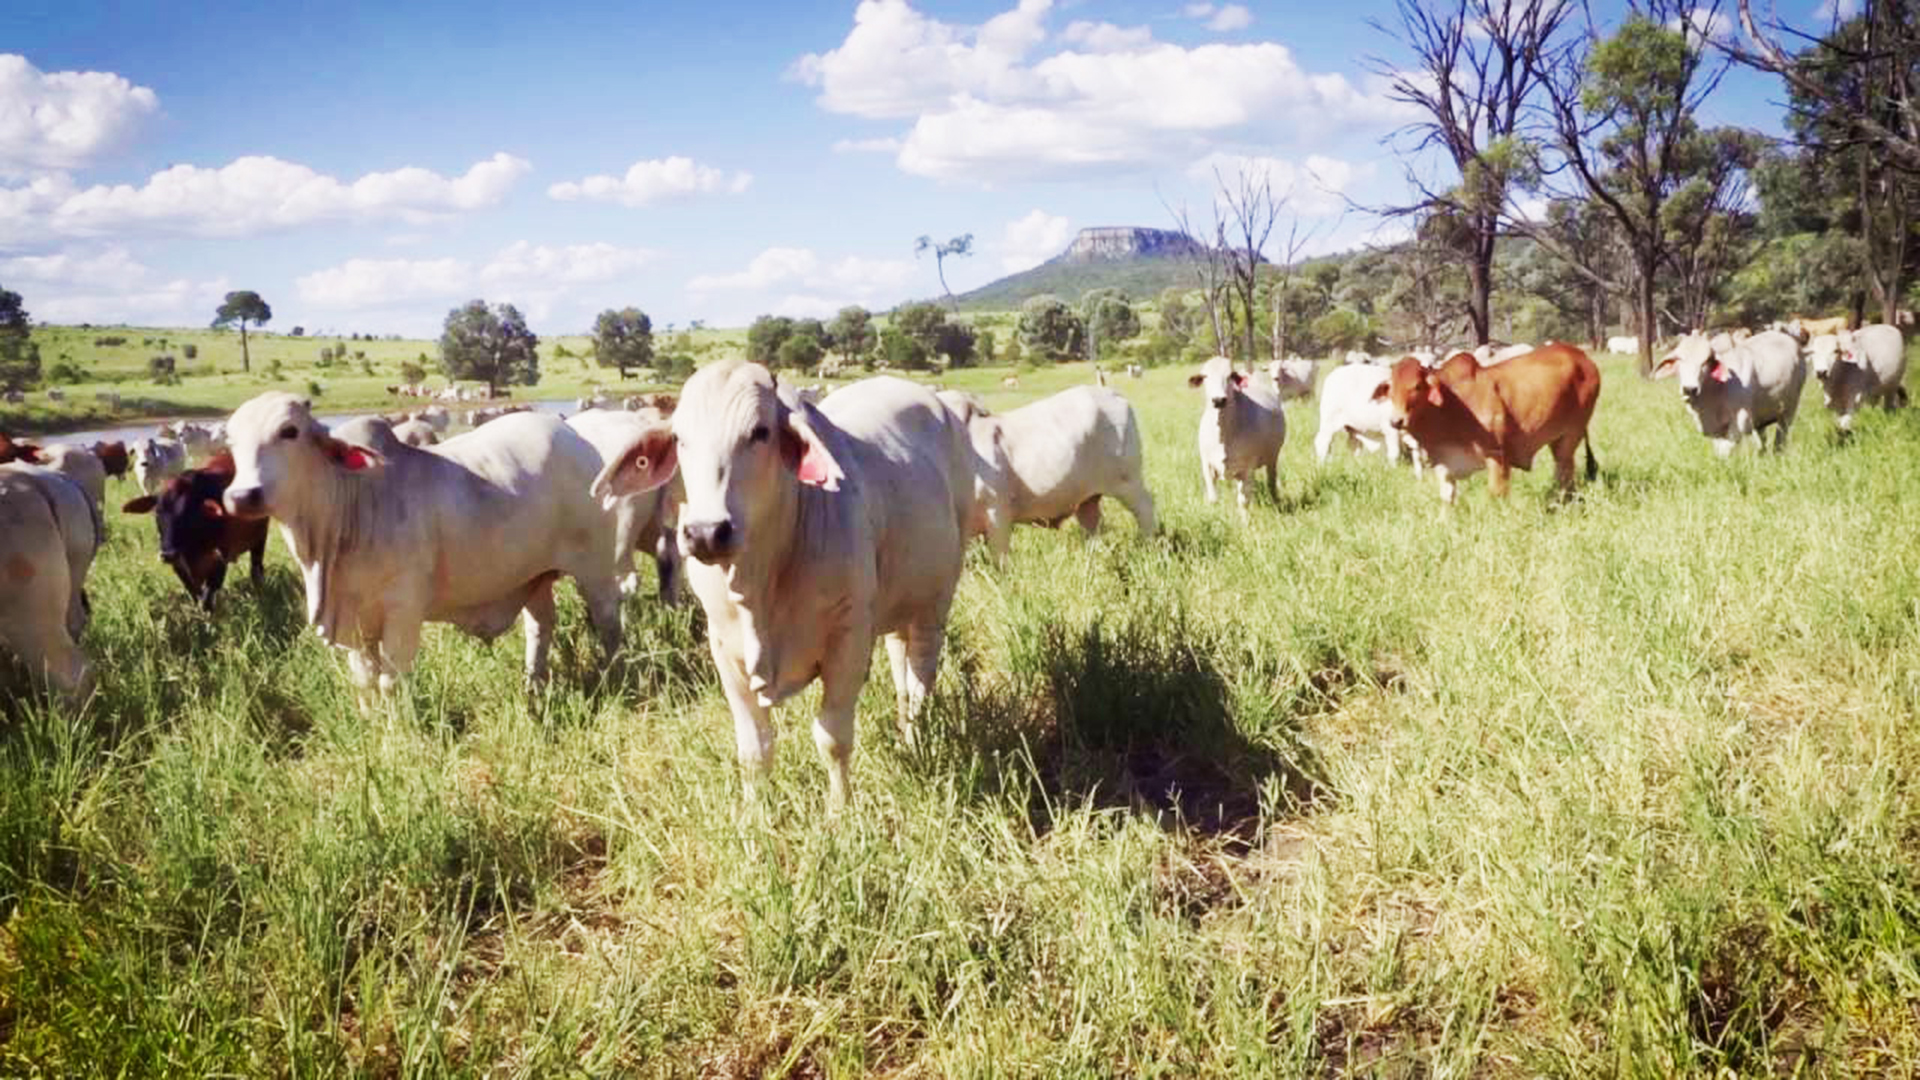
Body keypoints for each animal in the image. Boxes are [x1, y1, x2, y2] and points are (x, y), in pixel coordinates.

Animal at [121, 449, 266, 611]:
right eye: (157, 512)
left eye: (189, 513)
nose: (168, 554)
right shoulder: (180, 567)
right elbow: (194, 593)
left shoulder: (221, 557)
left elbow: (207, 597)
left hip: (260, 537)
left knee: (256, 567)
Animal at [587, 363, 975, 807]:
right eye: (680, 438)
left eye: (759, 432)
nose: (706, 533)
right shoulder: (725, 650)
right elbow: (754, 748)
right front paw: (755, 814)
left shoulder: (848, 640)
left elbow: (832, 738)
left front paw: (839, 811)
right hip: (898, 607)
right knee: (902, 672)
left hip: (936, 602)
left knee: (920, 680)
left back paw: (914, 741)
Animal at [1190, 355, 1282, 515]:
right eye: (1205, 376)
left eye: (1230, 376)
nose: (1219, 400)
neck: (1223, 436)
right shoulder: (1207, 466)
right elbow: (1213, 499)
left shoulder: (1247, 468)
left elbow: (1243, 502)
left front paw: (1245, 521)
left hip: (1272, 458)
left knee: (1271, 482)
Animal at [1367, 340, 1605, 499]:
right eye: (1390, 389)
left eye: (1417, 387)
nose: (1396, 421)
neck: (1447, 408)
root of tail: (1582, 357)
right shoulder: (1444, 462)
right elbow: (1447, 497)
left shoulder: (1497, 456)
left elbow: (1496, 495)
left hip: (1571, 435)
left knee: (1564, 470)